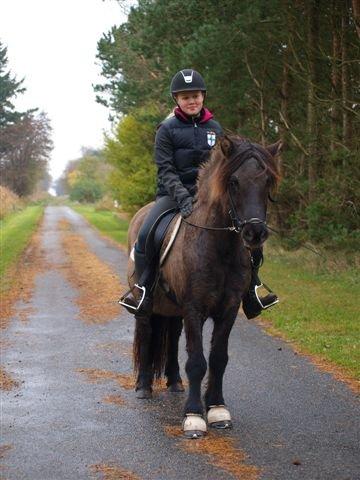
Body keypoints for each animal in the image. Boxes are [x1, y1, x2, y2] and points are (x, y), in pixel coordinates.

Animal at [126, 135, 282, 438]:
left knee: (172, 337)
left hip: (173, 308)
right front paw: (194, 416)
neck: (219, 248)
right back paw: (144, 386)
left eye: (268, 181)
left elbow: (218, 358)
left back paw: (175, 382)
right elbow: (197, 361)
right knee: (146, 330)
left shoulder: (228, 310)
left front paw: (218, 409)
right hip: (148, 303)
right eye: (233, 181)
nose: (255, 233)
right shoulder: (194, 308)